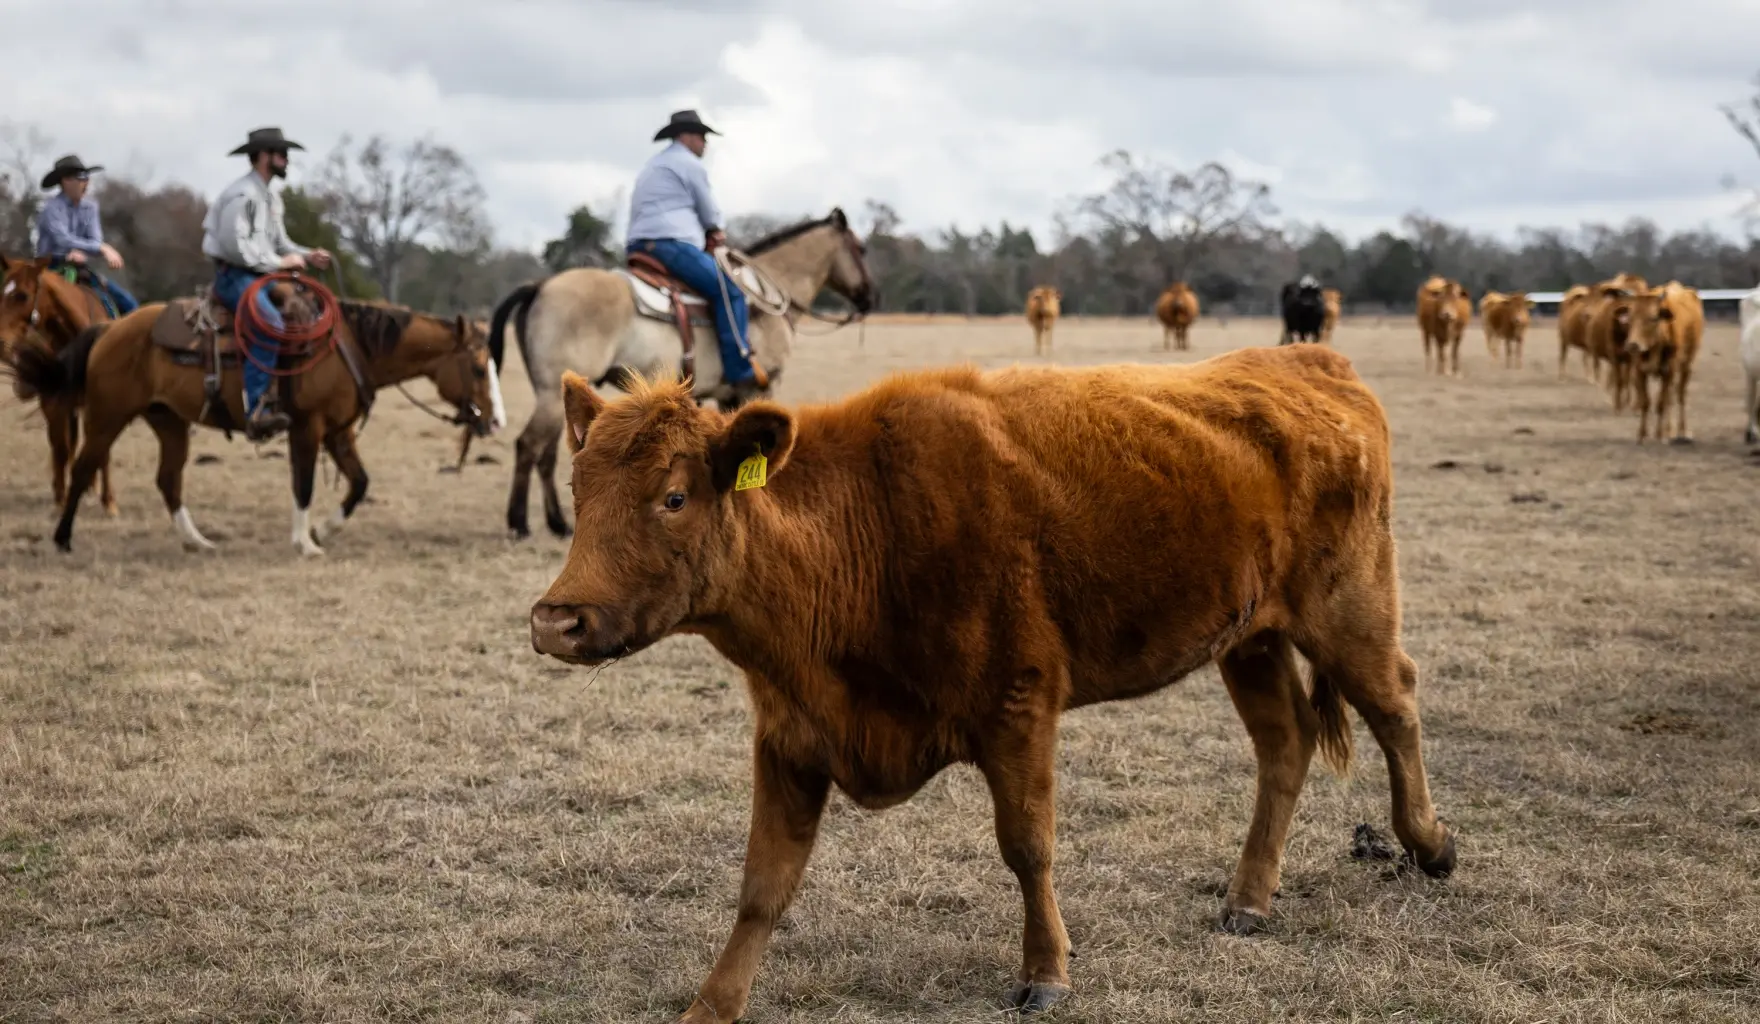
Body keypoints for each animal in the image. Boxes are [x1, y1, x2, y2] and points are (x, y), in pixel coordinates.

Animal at [529, 347, 1458, 1020]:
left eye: (674, 497)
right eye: (577, 488)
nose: (555, 620)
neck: (864, 529)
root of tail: (1310, 361)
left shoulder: (1020, 707)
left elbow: (1027, 846)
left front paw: (1046, 970)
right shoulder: (791, 739)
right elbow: (763, 886)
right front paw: (711, 1006)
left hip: (1350, 611)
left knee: (1395, 705)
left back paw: (1429, 842)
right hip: (1252, 638)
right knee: (1285, 743)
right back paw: (1250, 897)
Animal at [1624, 282, 1703, 444]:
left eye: (1654, 318)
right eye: (1630, 317)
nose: (1633, 345)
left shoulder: (1669, 371)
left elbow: (1660, 403)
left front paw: (1659, 435)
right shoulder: (1639, 372)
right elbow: (1646, 402)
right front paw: (1642, 435)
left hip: (1686, 366)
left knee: (1680, 396)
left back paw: (1681, 430)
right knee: (1670, 399)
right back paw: (1670, 430)